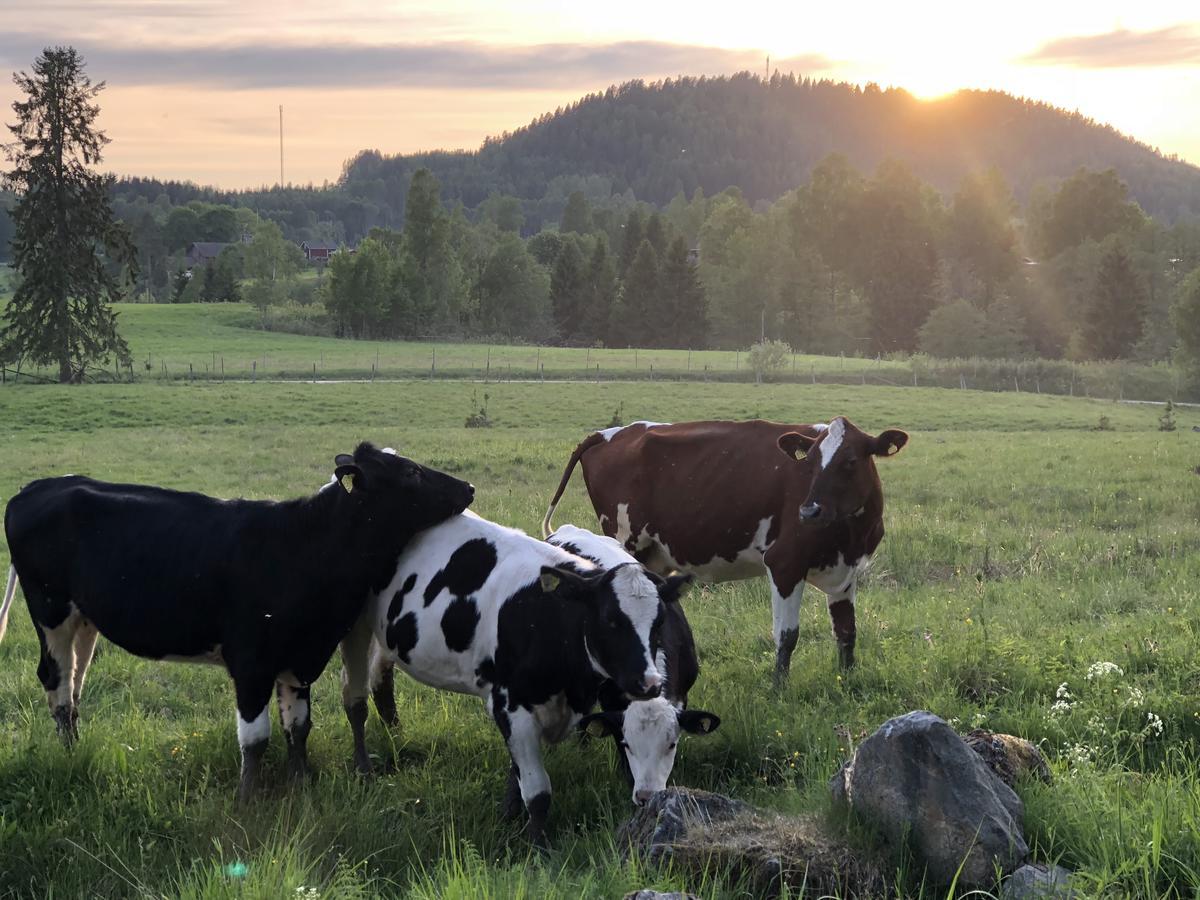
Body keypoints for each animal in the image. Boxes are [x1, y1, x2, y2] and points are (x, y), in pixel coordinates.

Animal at [1, 444, 477, 801]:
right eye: (411, 472)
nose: (468, 487)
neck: (305, 544)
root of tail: (39, 487)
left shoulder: (301, 656)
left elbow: (298, 727)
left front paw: (301, 786)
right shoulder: (251, 662)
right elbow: (256, 739)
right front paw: (247, 802)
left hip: (84, 621)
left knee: (74, 683)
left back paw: (75, 747)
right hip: (51, 614)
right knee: (55, 681)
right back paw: (67, 755)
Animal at [343, 511, 691, 849]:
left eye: (659, 620)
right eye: (610, 620)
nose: (648, 683)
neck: (548, 617)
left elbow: (519, 771)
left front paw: (511, 814)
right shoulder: (510, 704)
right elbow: (537, 792)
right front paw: (537, 848)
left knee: (381, 679)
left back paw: (394, 734)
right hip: (353, 626)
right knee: (354, 699)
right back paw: (364, 770)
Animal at [540, 420, 902, 681]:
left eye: (850, 461)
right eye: (809, 464)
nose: (809, 511)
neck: (848, 536)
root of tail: (608, 433)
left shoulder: (847, 570)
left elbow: (847, 631)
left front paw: (847, 680)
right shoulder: (784, 564)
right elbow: (786, 635)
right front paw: (779, 688)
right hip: (626, 542)